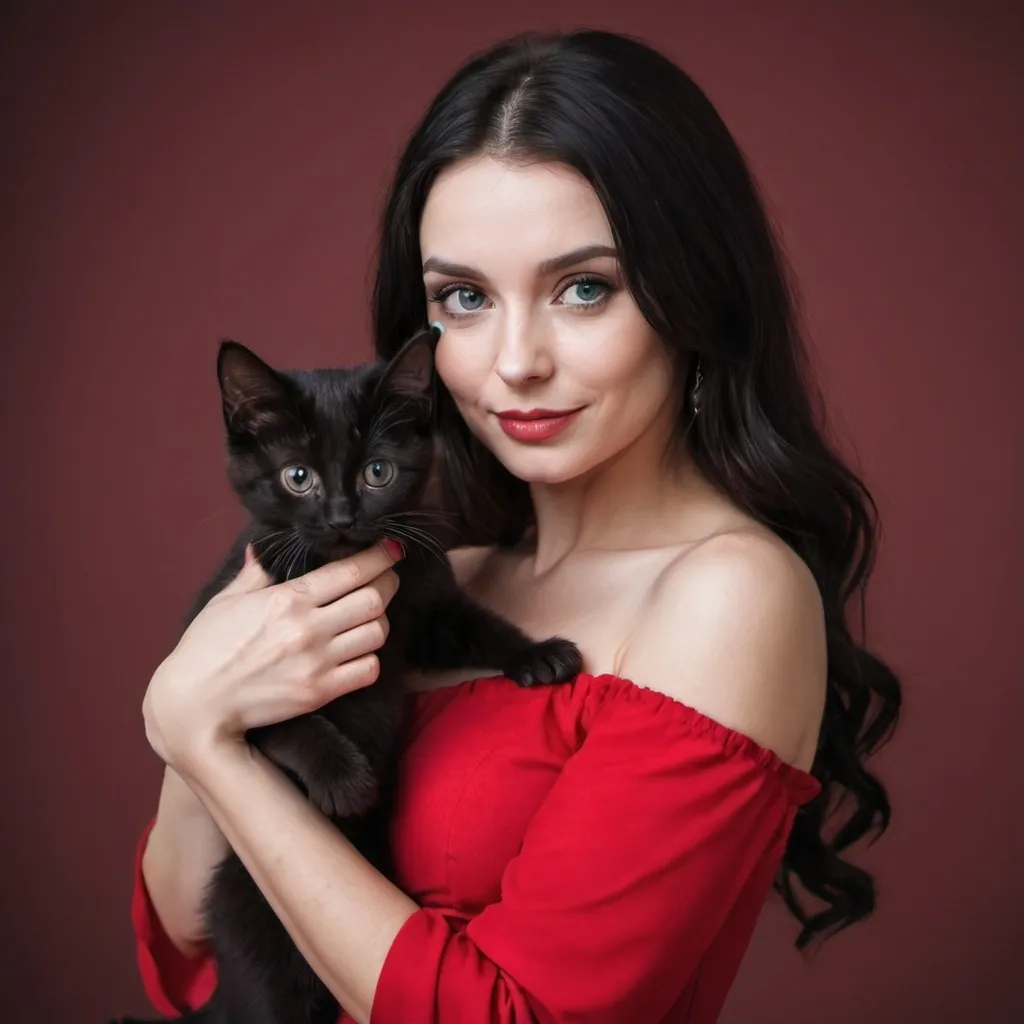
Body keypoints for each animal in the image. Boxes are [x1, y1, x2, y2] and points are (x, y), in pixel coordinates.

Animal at [113, 325, 581, 1024]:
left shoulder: (426, 606)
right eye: (297, 477)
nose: (339, 516)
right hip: (260, 941)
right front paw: (343, 778)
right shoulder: (213, 650)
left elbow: (478, 625)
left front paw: (540, 652)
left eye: (377, 472)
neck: (340, 573)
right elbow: (284, 719)